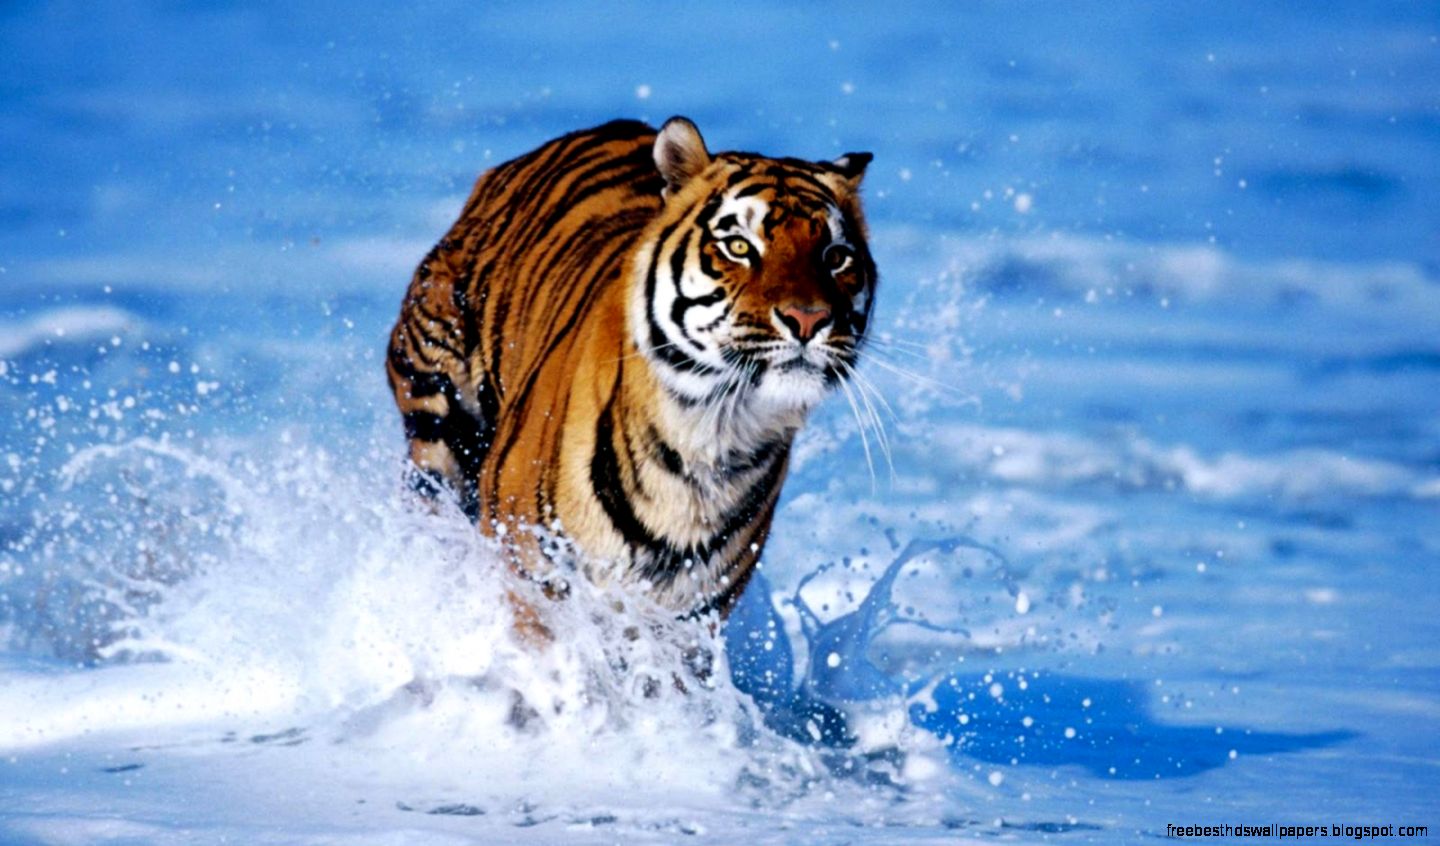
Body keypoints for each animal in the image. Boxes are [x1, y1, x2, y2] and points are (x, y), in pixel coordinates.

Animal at [386, 116, 875, 622]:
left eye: (836, 256)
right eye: (739, 246)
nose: (809, 319)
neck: (712, 436)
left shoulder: (691, 614)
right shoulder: (531, 570)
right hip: (438, 420)